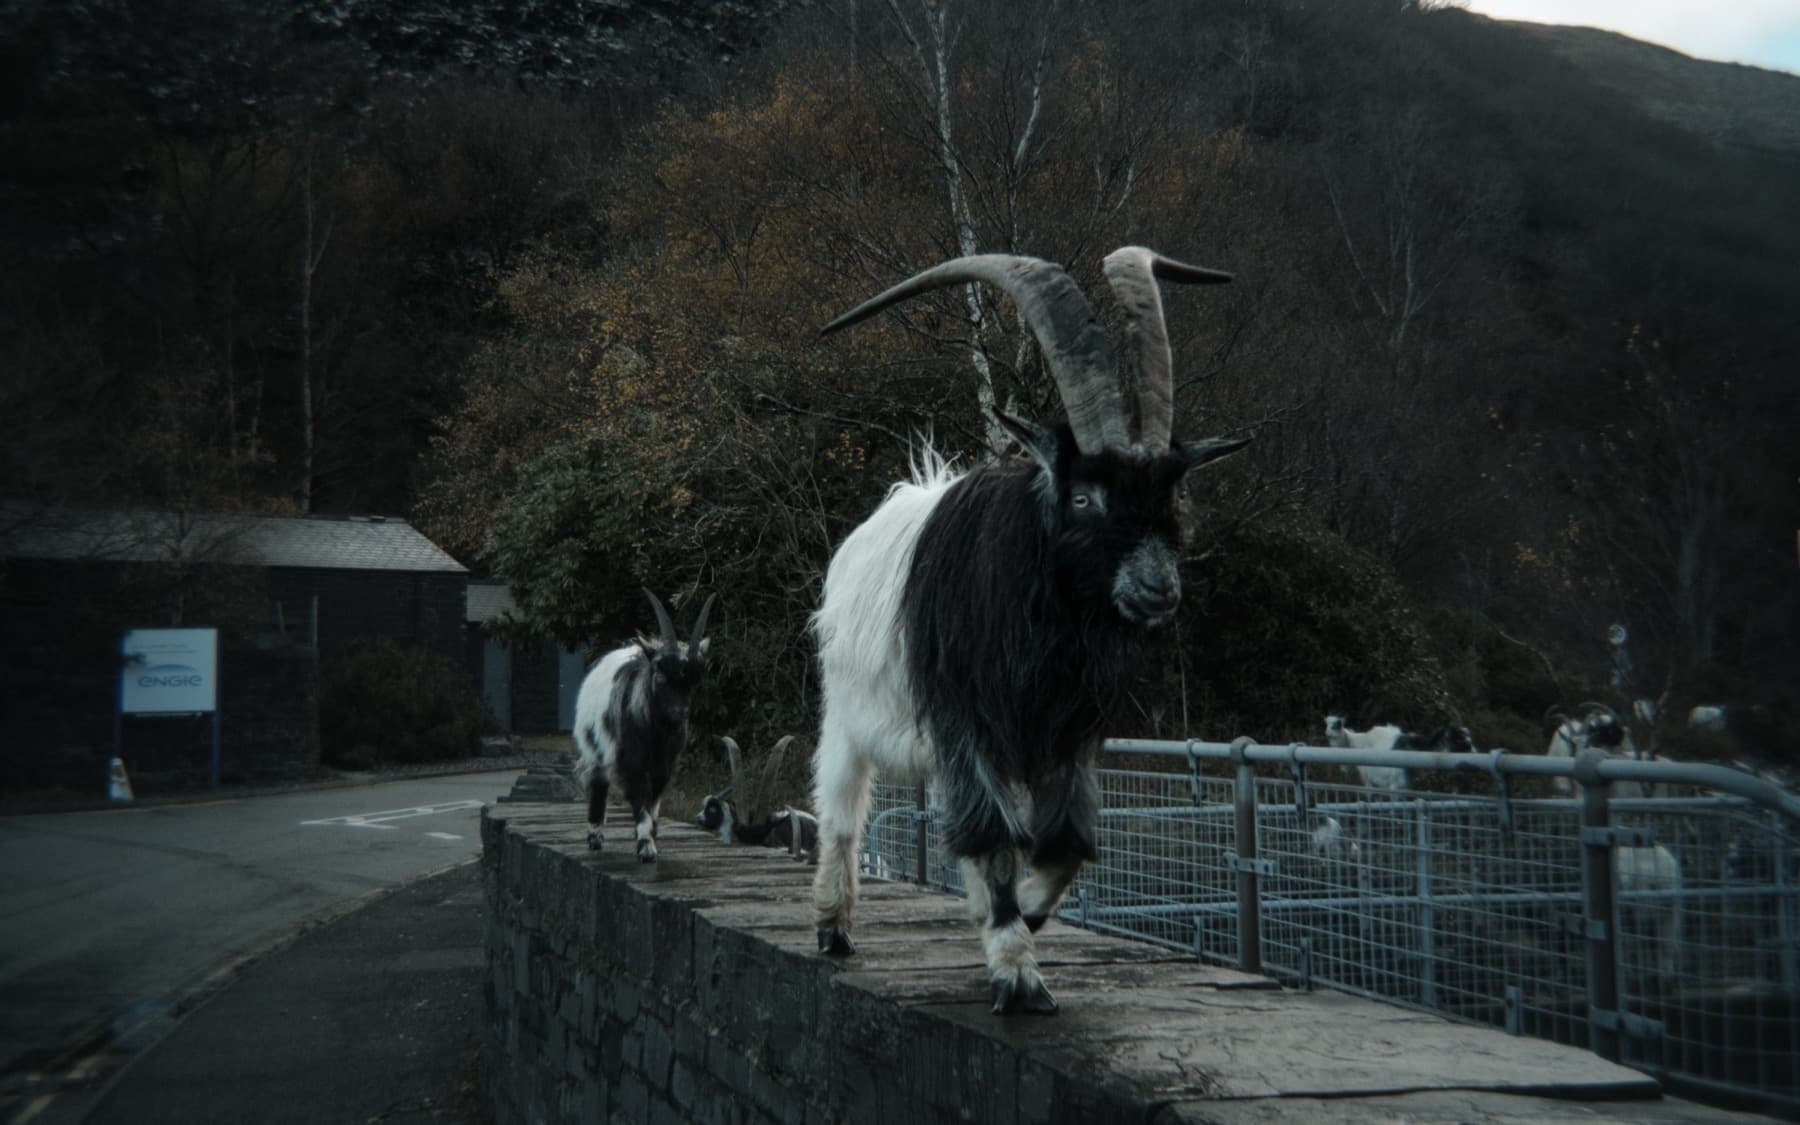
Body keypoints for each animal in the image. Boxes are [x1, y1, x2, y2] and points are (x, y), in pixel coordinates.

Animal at [572, 589, 714, 862]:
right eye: (660, 677)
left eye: (694, 683)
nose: (680, 714)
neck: (657, 734)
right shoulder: (632, 760)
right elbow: (639, 795)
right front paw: (646, 847)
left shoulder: (665, 763)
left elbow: (653, 799)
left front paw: (651, 834)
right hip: (594, 746)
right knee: (598, 782)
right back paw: (595, 837)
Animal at [808, 247, 1248, 1014]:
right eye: (1085, 496)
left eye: (1172, 493)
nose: (1157, 589)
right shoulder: (965, 718)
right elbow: (989, 832)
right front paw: (1016, 969)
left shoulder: (1066, 732)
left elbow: (1062, 842)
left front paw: (1020, 915)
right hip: (847, 709)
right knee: (841, 807)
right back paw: (834, 924)